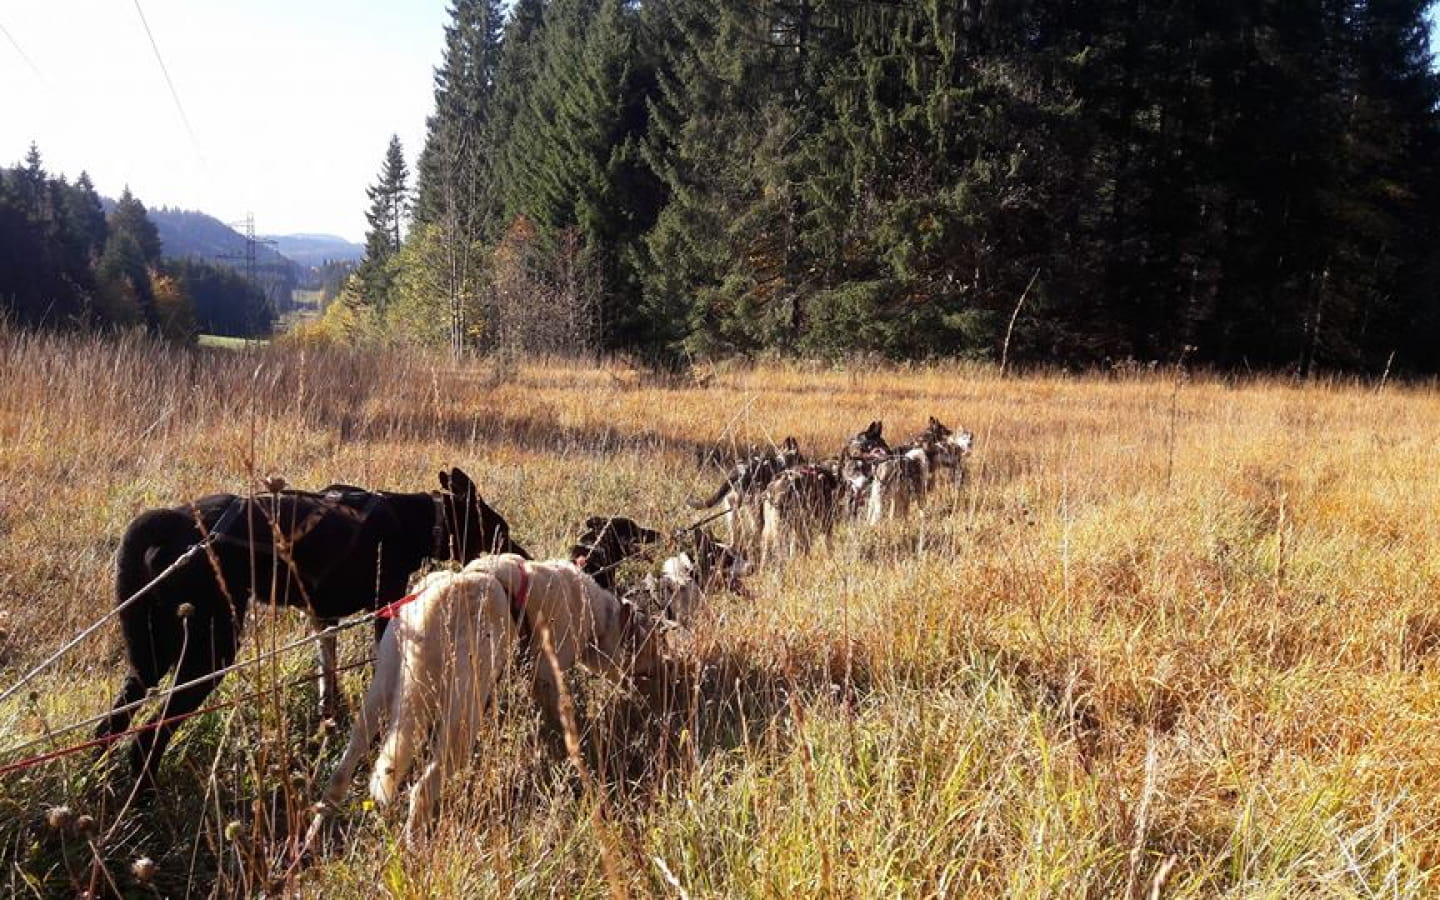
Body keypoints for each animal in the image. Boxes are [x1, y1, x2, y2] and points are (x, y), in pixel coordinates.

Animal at [100, 466, 529, 783]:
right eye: (501, 529)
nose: (525, 555)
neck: (413, 522)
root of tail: (164, 526)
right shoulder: (384, 610)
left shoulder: (323, 620)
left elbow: (327, 682)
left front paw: (328, 726)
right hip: (210, 651)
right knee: (147, 737)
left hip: (150, 655)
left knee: (111, 724)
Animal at [312, 550, 671, 840]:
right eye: (650, 646)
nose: (662, 673)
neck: (593, 611)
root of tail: (435, 602)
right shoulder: (546, 675)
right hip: (461, 718)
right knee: (422, 790)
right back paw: (413, 849)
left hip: (380, 698)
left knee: (341, 774)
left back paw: (314, 837)